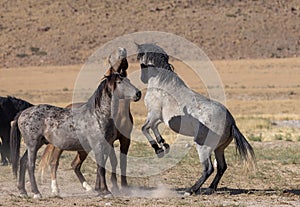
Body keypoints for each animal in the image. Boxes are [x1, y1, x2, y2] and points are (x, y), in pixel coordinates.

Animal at [9, 69, 141, 199]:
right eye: (119, 82)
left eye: (128, 80)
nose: (138, 93)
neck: (98, 115)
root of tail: (23, 113)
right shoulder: (98, 145)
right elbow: (101, 168)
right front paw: (106, 192)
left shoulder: (107, 145)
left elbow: (102, 166)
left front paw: (100, 190)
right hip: (33, 144)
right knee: (30, 165)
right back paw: (37, 193)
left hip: (37, 144)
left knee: (23, 161)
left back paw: (23, 191)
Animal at [38, 47, 134, 196]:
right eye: (110, 58)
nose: (122, 50)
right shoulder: (110, 141)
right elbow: (112, 161)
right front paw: (113, 187)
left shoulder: (124, 138)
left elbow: (119, 162)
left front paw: (121, 186)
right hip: (61, 145)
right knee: (54, 162)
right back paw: (55, 189)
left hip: (82, 148)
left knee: (75, 164)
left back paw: (88, 187)